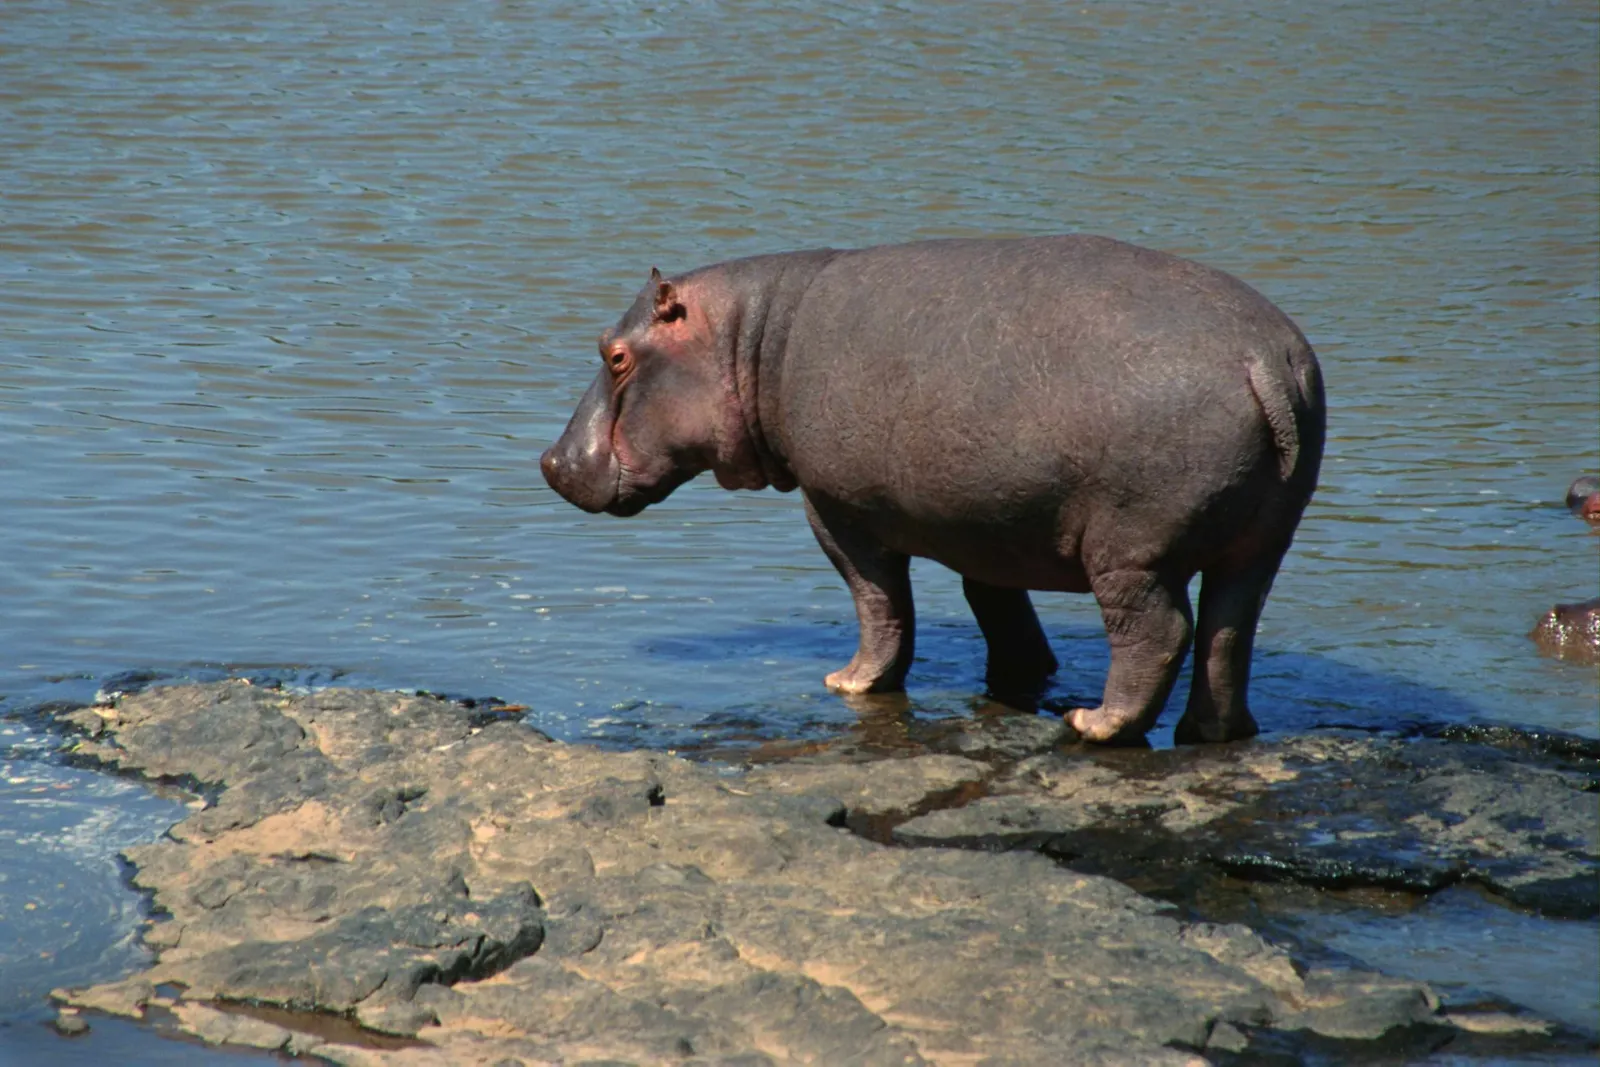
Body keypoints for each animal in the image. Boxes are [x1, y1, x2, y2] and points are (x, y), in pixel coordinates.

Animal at [541, 236, 1325, 743]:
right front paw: (1023, 673)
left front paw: (848, 683)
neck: (750, 337)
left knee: (1158, 632)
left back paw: (1094, 725)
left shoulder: (837, 509)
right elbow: (996, 606)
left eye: (616, 355)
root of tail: (1262, 358)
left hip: (1131, 552)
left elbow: (879, 601)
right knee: (1230, 631)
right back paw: (1212, 732)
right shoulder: (995, 527)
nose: (550, 461)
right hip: (1261, 544)